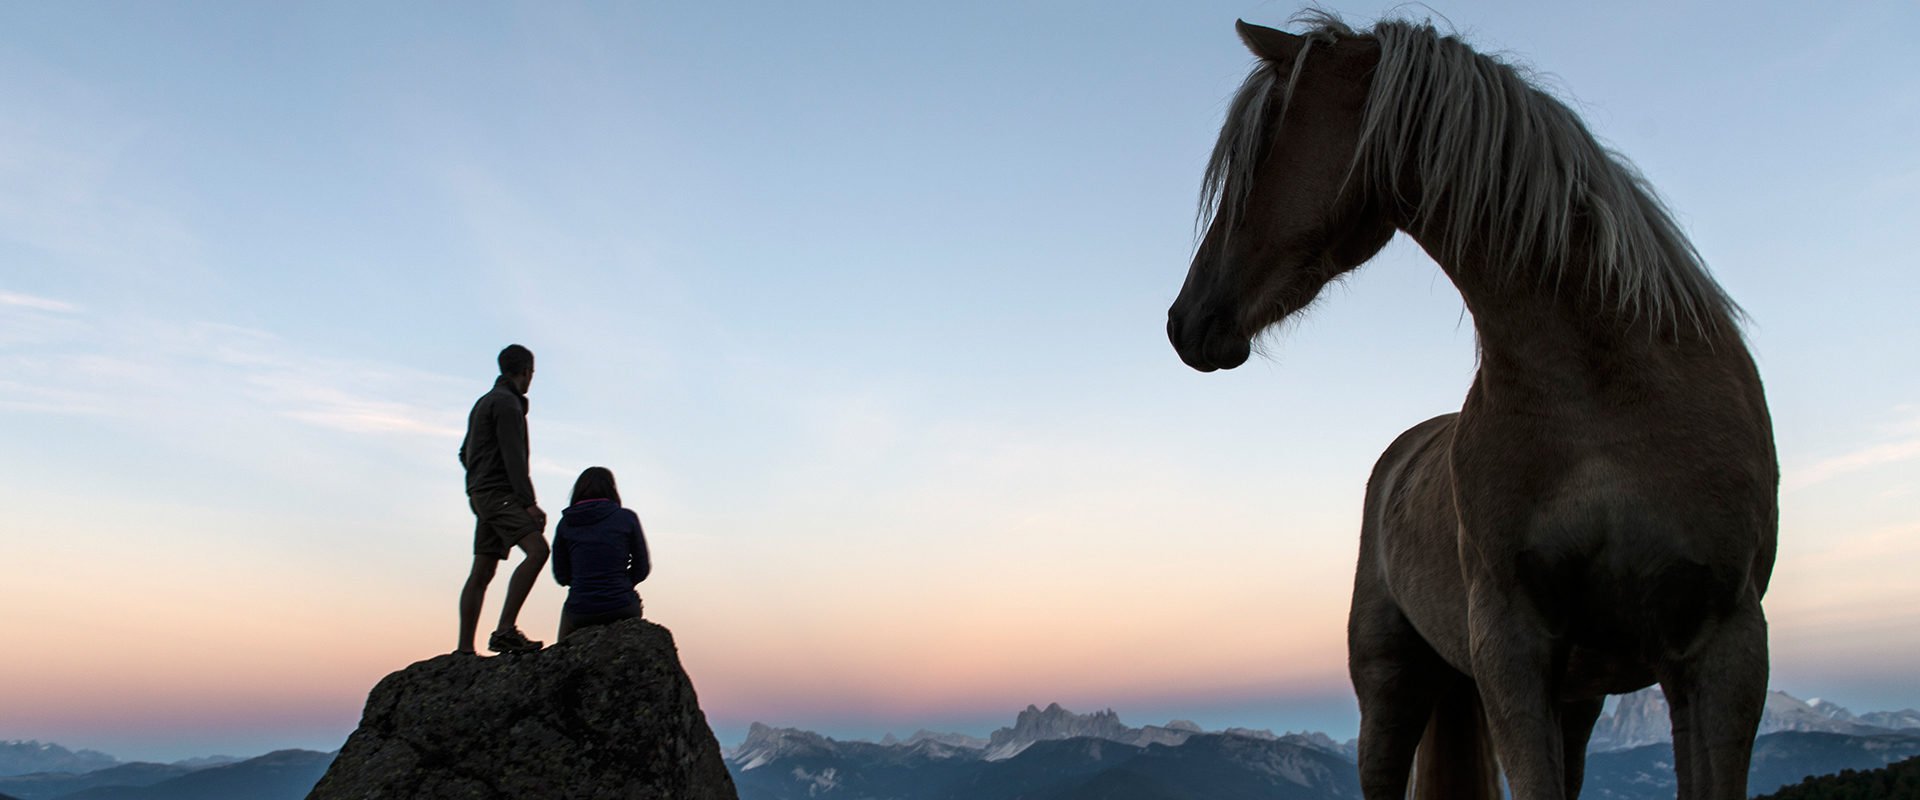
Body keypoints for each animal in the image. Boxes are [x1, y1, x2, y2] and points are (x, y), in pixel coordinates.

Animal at [1167, 12, 1781, 798]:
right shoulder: (1511, 652)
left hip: (1578, 693)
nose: (1186, 320)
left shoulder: (1724, 648)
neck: (1602, 401)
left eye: (1265, 142)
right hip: (1390, 686)